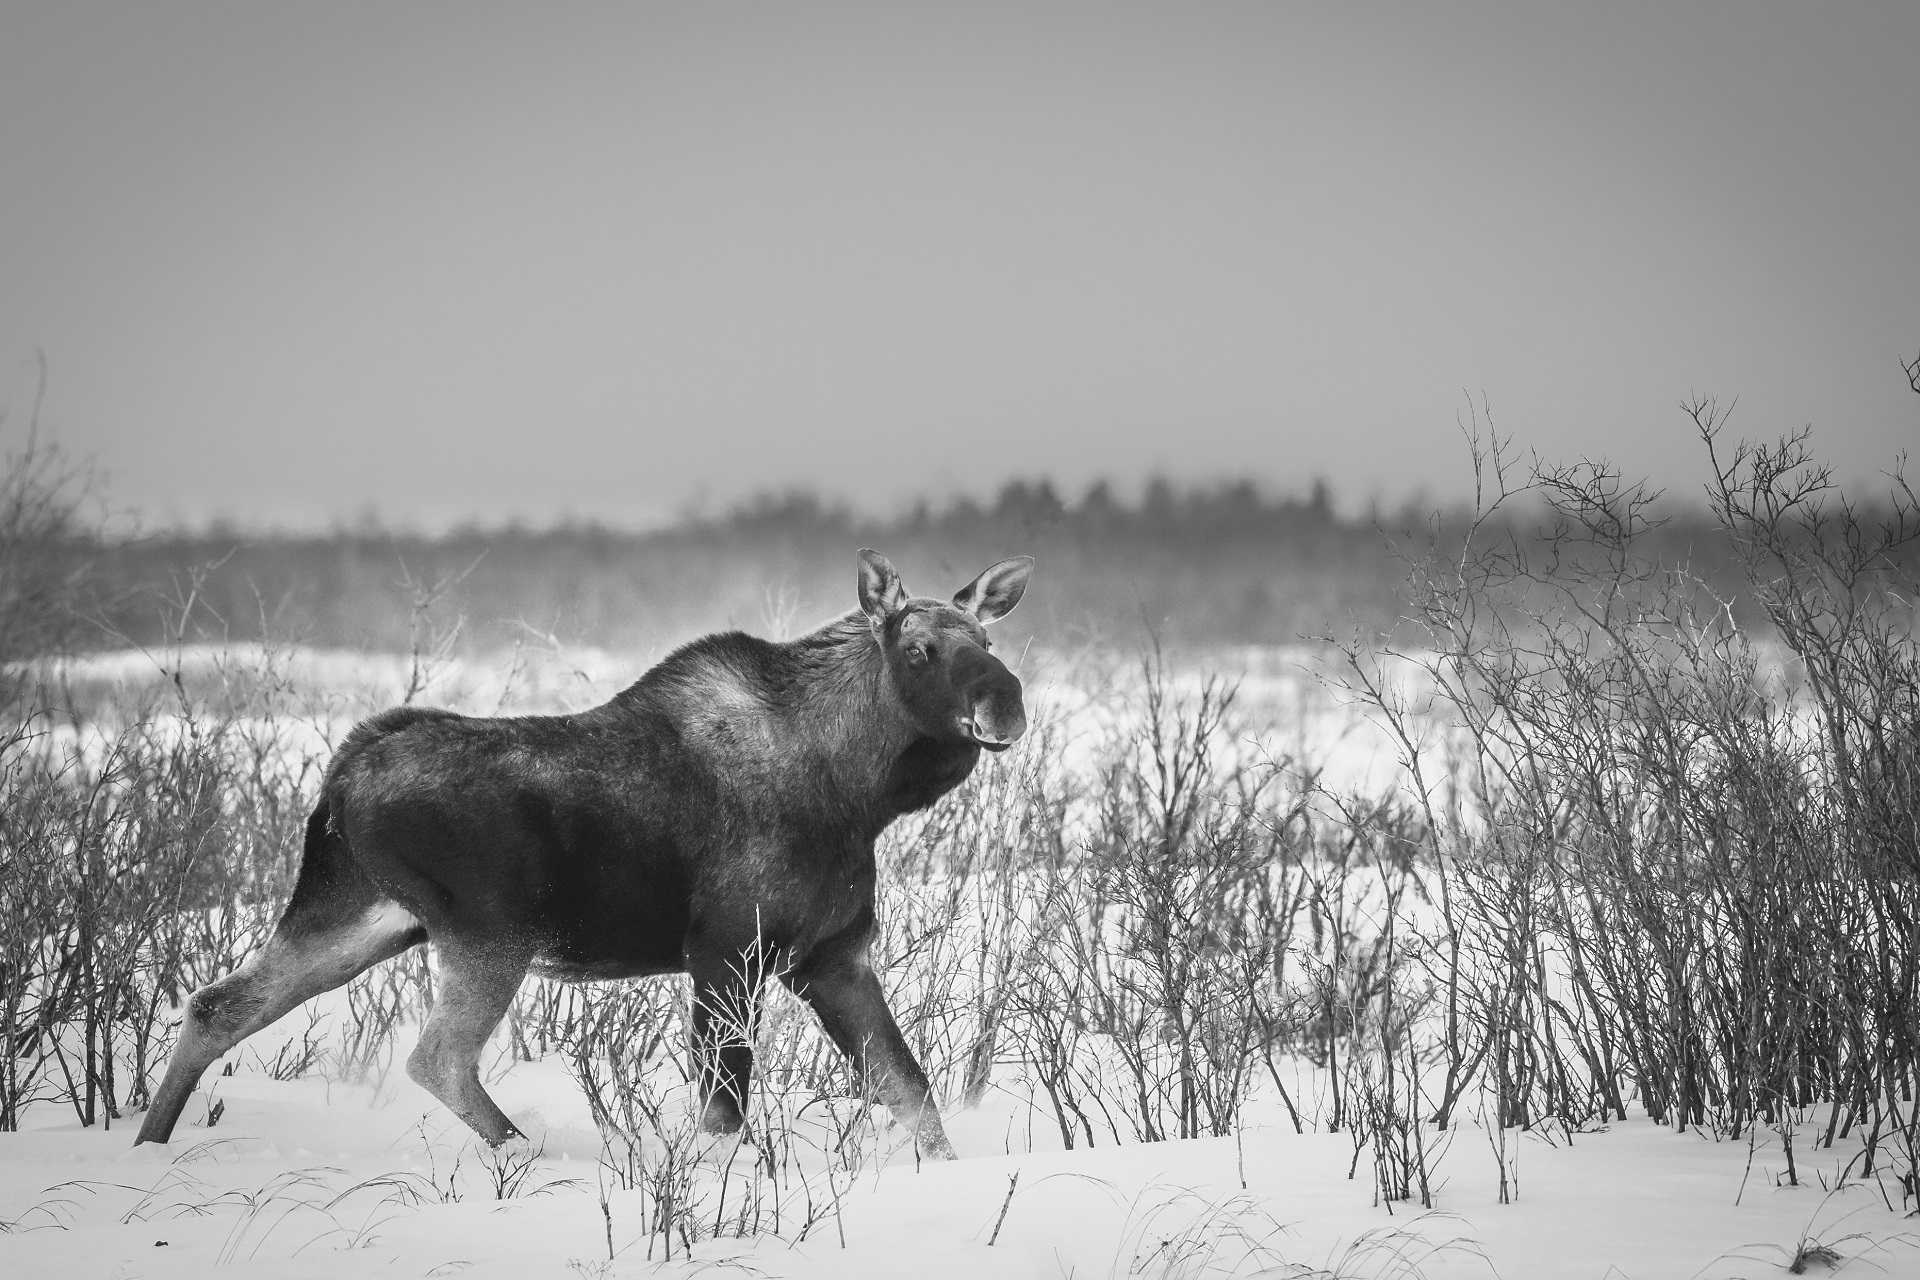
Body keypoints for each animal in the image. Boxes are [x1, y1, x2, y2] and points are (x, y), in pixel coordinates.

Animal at [135, 552, 1036, 1159]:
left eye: (989, 640)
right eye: (917, 650)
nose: (1006, 698)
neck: (861, 792)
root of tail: (342, 774)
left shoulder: (832, 955)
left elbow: (909, 1088)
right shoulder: (725, 952)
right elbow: (725, 1112)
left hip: (357, 916)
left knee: (217, 1006)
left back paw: (149, 1145)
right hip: (487, 935)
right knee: (437, 1059)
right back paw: (532, 1158)